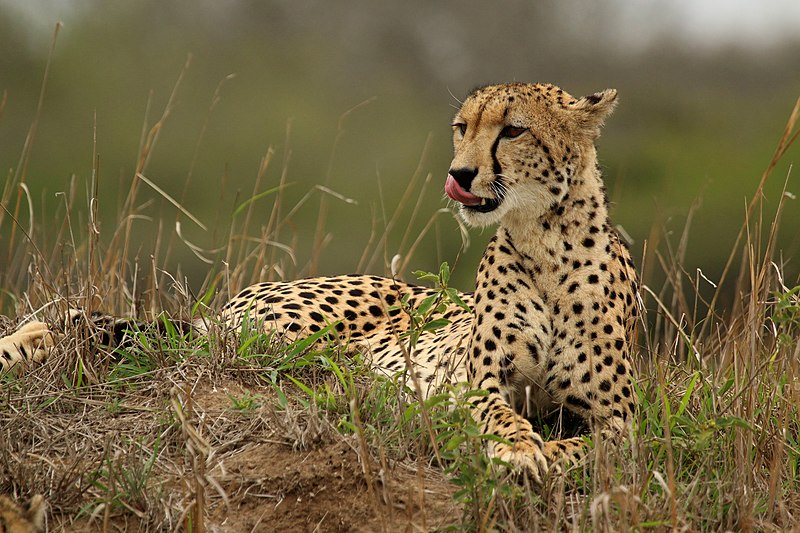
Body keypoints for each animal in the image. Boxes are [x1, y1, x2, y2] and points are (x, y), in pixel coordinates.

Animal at [0, 82, 636, 482]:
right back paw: (33, 340)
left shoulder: (619, 422)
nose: (459, 173)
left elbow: (592, 451)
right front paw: (517, 448)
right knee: (160, 335)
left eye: (513, 131)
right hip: (280, 336)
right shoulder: (480, 383)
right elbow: (504, 415)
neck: (545, 241)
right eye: (462, 128)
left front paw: (541, 453)